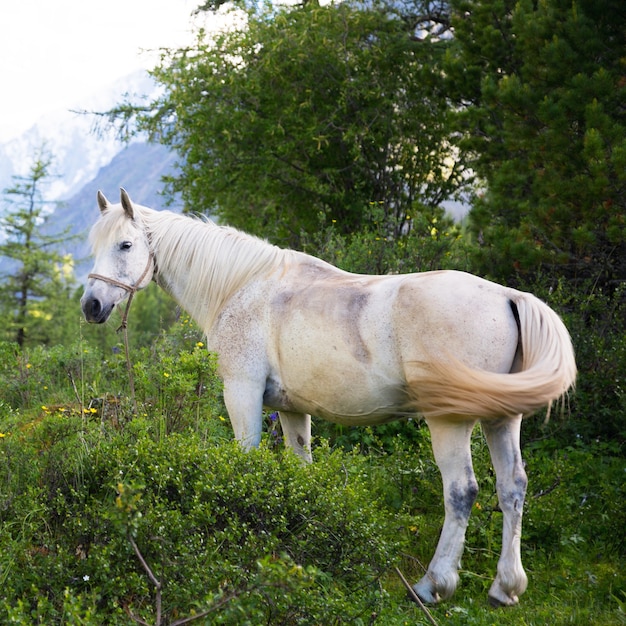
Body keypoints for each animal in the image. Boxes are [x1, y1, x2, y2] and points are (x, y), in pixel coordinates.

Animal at [80, 189, 572, 604]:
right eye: (95, 246)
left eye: (126, 245)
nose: (91, 306)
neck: (242, 287)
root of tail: (507, 296)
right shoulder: (293, 411)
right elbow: (301, 471)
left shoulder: (241, 393)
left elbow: (246, 463)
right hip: (500, 419)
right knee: (512, 488)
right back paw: (505, 587)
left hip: (449, 421)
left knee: (462, 491)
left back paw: (433, 585)